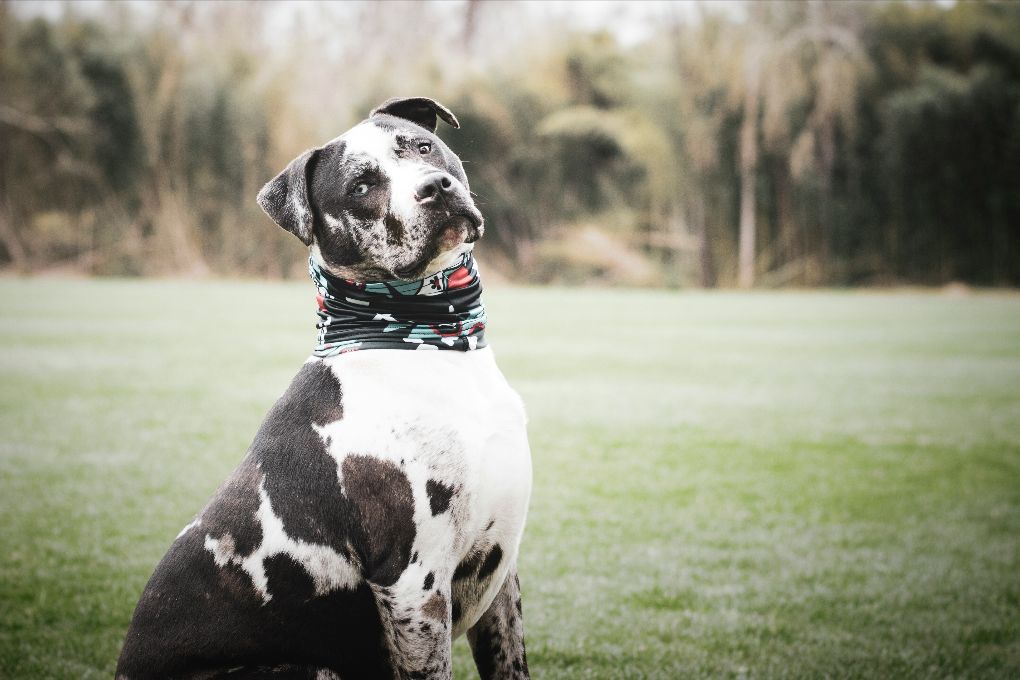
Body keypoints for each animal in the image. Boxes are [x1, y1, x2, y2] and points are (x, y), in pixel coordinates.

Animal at [115, 96, 534, 680]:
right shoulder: (413, 584)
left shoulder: (501, 573)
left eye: (423, 147)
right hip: (310, 667)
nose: (435, 187)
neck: (424, 342)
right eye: (360, 186)